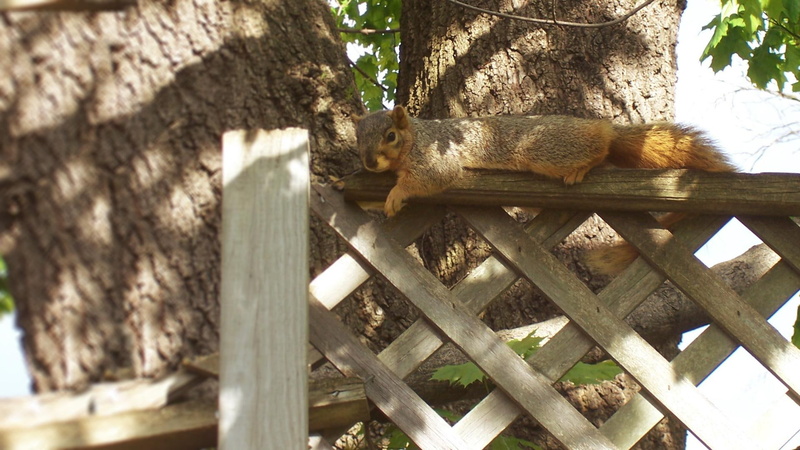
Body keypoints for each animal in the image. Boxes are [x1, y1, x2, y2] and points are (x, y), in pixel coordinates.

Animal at [355, 105, 735, 274]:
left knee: (600, 146)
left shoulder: (437, 157)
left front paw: (396, 193)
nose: (369, 162)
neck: (415, 137)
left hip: (545, 149)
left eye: (390, 135)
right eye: (357, 137)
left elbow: (430, 177)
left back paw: (586, 162)